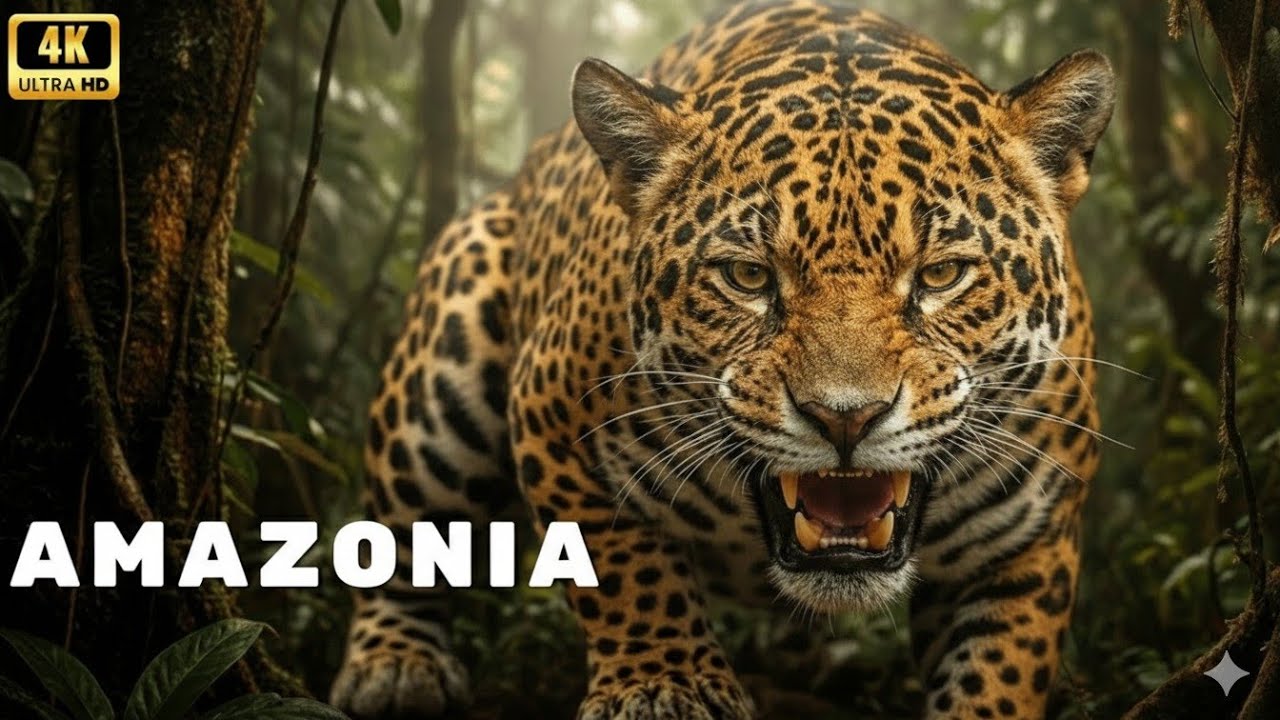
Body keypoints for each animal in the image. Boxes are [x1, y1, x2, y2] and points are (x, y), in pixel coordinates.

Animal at [329, 1, 1112, 718]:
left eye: (943, 274)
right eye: (748, 277)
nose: (845, 419)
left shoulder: (1028, 539)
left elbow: (1000, 672)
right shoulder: (553, 418)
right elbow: (624, 568)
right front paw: (662, 684)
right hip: (441, 381)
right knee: (397, 542)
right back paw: (394, 667)